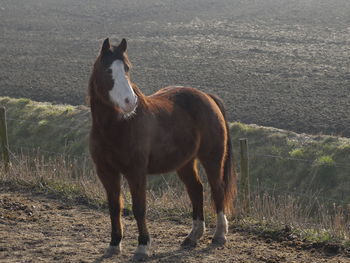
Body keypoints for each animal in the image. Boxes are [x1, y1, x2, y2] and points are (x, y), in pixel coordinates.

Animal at [87, 37, 237, 262]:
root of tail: (207, 97)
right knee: (196, 189)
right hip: (185, 163)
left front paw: (142, 247)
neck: (118, 126)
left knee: (217, 189)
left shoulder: (136, 172)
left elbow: (139, 208)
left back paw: (219, 235)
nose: (130, 102)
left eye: (127, 68)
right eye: (107, 69)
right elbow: (114, 207)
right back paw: (193, 236)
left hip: (212, 158)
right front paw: (114, 245)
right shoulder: (106, 172)